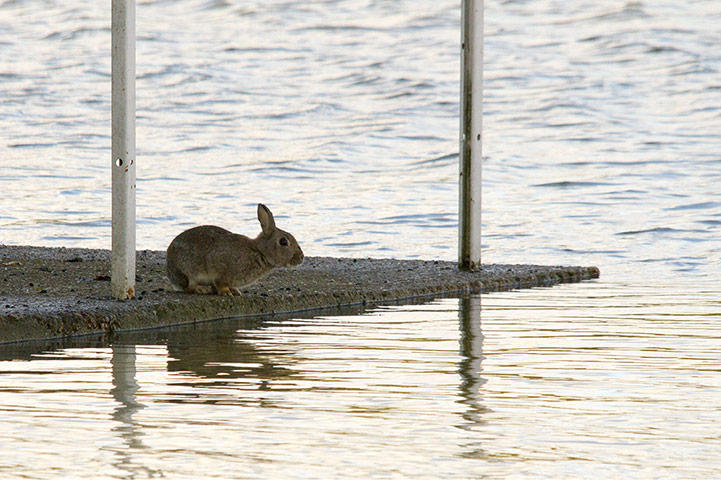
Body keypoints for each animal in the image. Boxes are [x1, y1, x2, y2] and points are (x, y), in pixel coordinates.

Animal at [166, 203, 304, 296]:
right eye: (283, 242)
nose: (301, 257)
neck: (259, 252)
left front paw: (235, 291)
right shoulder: (219, 269)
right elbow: (221, 283)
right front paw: (226, 292)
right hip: (188, 272)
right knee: (187, 287)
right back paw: (201, 289)